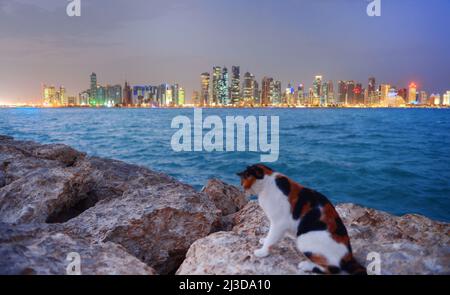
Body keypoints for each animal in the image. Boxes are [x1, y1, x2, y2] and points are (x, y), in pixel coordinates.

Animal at [236, 164, 366, 276]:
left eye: (242, 181)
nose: (242, 188)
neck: (268, 184)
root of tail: (349, 256)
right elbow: (272, 236)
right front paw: (265, 239)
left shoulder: (279, 223)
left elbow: (272, 236)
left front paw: (262, 251)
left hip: (304, 238)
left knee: (333, 268)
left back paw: (306, 265)